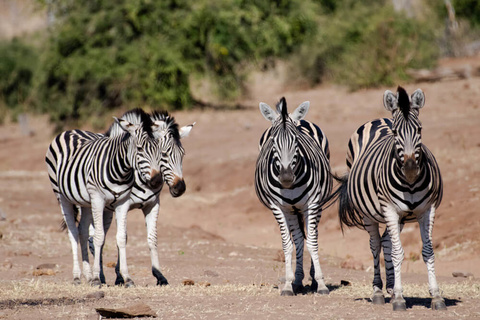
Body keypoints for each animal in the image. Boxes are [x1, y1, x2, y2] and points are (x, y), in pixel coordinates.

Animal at [45, 109, 161, 286]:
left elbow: (121, 237)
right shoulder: (99, 200)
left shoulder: (122, 202)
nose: (157, 181)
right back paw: (77, 276)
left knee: (82, 232)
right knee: (73, 233)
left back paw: (86, 274)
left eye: (159, 150)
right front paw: (96, 278)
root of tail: (69, 131)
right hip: (62, 196)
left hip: (85, 202)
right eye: (140, 149)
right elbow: (99, 237)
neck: (121, 171)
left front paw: (127, 278)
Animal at [84, 111, 195, 286]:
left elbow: (152, 238)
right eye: (163, 154)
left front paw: (159, 275)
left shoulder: (153, 205)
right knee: (91, 239)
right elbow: (123, 236)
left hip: (106, 212)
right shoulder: (123, 205)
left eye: (182, 154)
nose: (180, 188)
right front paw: (120, 276)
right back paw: (99, 276)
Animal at [255, 97, 334, 296]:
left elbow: (312, 242)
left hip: (314, 206)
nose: (286, 178)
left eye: (297, 140)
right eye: (273, 141)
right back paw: (298, 280)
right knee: (298, 239)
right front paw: (288, 284)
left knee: (313, 235)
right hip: (291, 210)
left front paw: (321, 283)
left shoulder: (312, 204)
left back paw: (312, 280)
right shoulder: (278, 207)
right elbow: (288, 244)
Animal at [334, 86, 446, 312]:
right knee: (375, 244)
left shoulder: (427, 210)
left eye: (420, 129)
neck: (410, 184)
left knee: (386, 241)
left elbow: (427, 251)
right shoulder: (390, 210)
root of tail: (378, 119)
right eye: (395, 133)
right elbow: (397, 253)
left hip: (399, 217)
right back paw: (378, 291)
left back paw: (392, 287)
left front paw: (436, 296)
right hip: (370, 213)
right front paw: (400, 299)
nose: (410, 168)